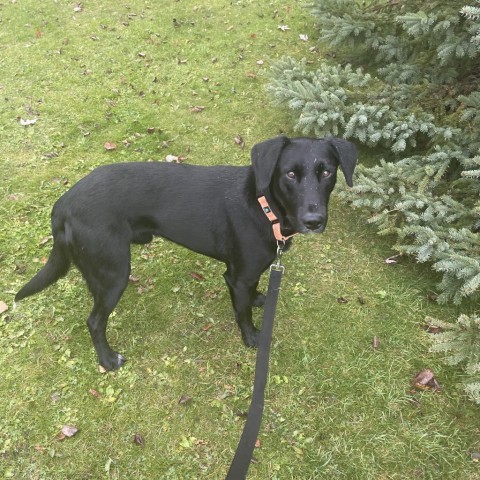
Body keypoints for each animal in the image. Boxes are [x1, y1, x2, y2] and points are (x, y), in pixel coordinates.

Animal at [15, 137, 356, 370]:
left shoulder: (249, 274)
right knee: (94, 321)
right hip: (114, 273)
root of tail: (63, 203)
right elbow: (242, 313)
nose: (314, 221)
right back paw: (108, 359)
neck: (265, 207)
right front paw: (252, 340)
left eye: (327, 172)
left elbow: (253, 293)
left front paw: (259, 298)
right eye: (290, 174)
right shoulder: (236, 277)